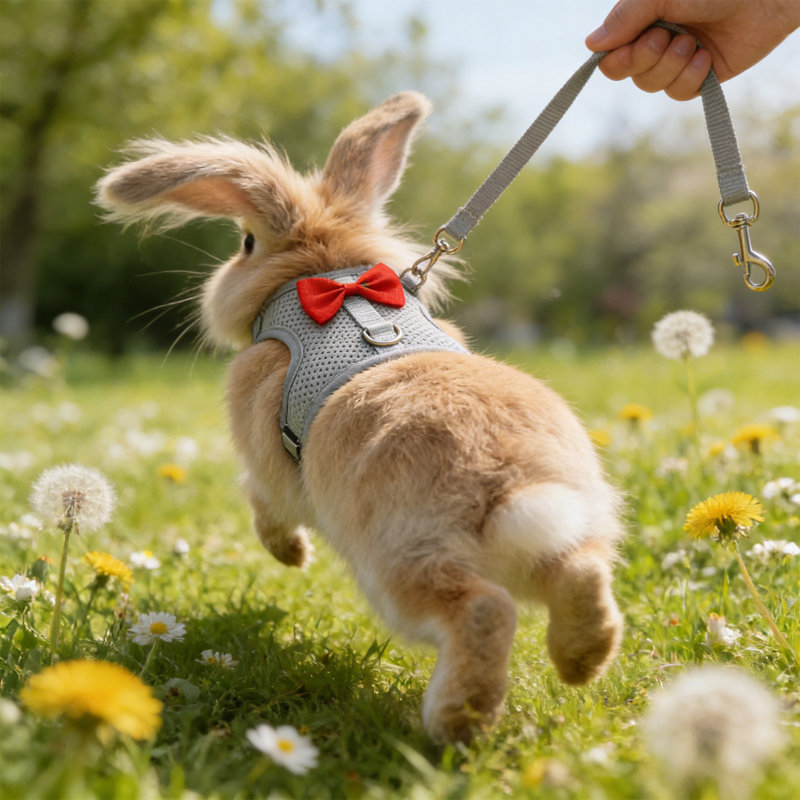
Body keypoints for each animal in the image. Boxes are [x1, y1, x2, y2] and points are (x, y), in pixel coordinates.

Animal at [96, 91, 624, 744]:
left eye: (245, 242)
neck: (329, 276)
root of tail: (514, 481)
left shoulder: (272, 471)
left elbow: (262, 503)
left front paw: (290, 556)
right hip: (567, 534)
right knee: (583, 575)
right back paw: (579, 663)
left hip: (401, 565)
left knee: (484, 610)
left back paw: (454, 723)